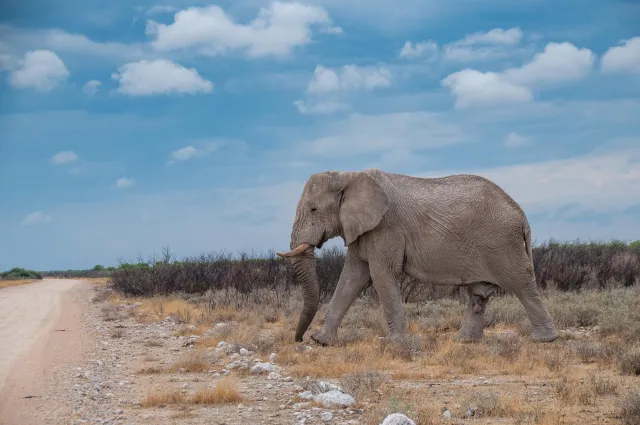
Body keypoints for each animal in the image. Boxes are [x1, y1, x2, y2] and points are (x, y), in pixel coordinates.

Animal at [276, 167, 560, 346]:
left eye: (314, 209)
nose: (298, 339)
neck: (349, 175)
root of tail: (521, 215)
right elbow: (352, 278)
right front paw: (322, 342)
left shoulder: (385, 227)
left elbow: (381, 275)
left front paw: (395, 344)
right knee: (478, 294)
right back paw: (465, 341)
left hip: (503, 243)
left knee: (521, 284)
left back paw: (547, 339)